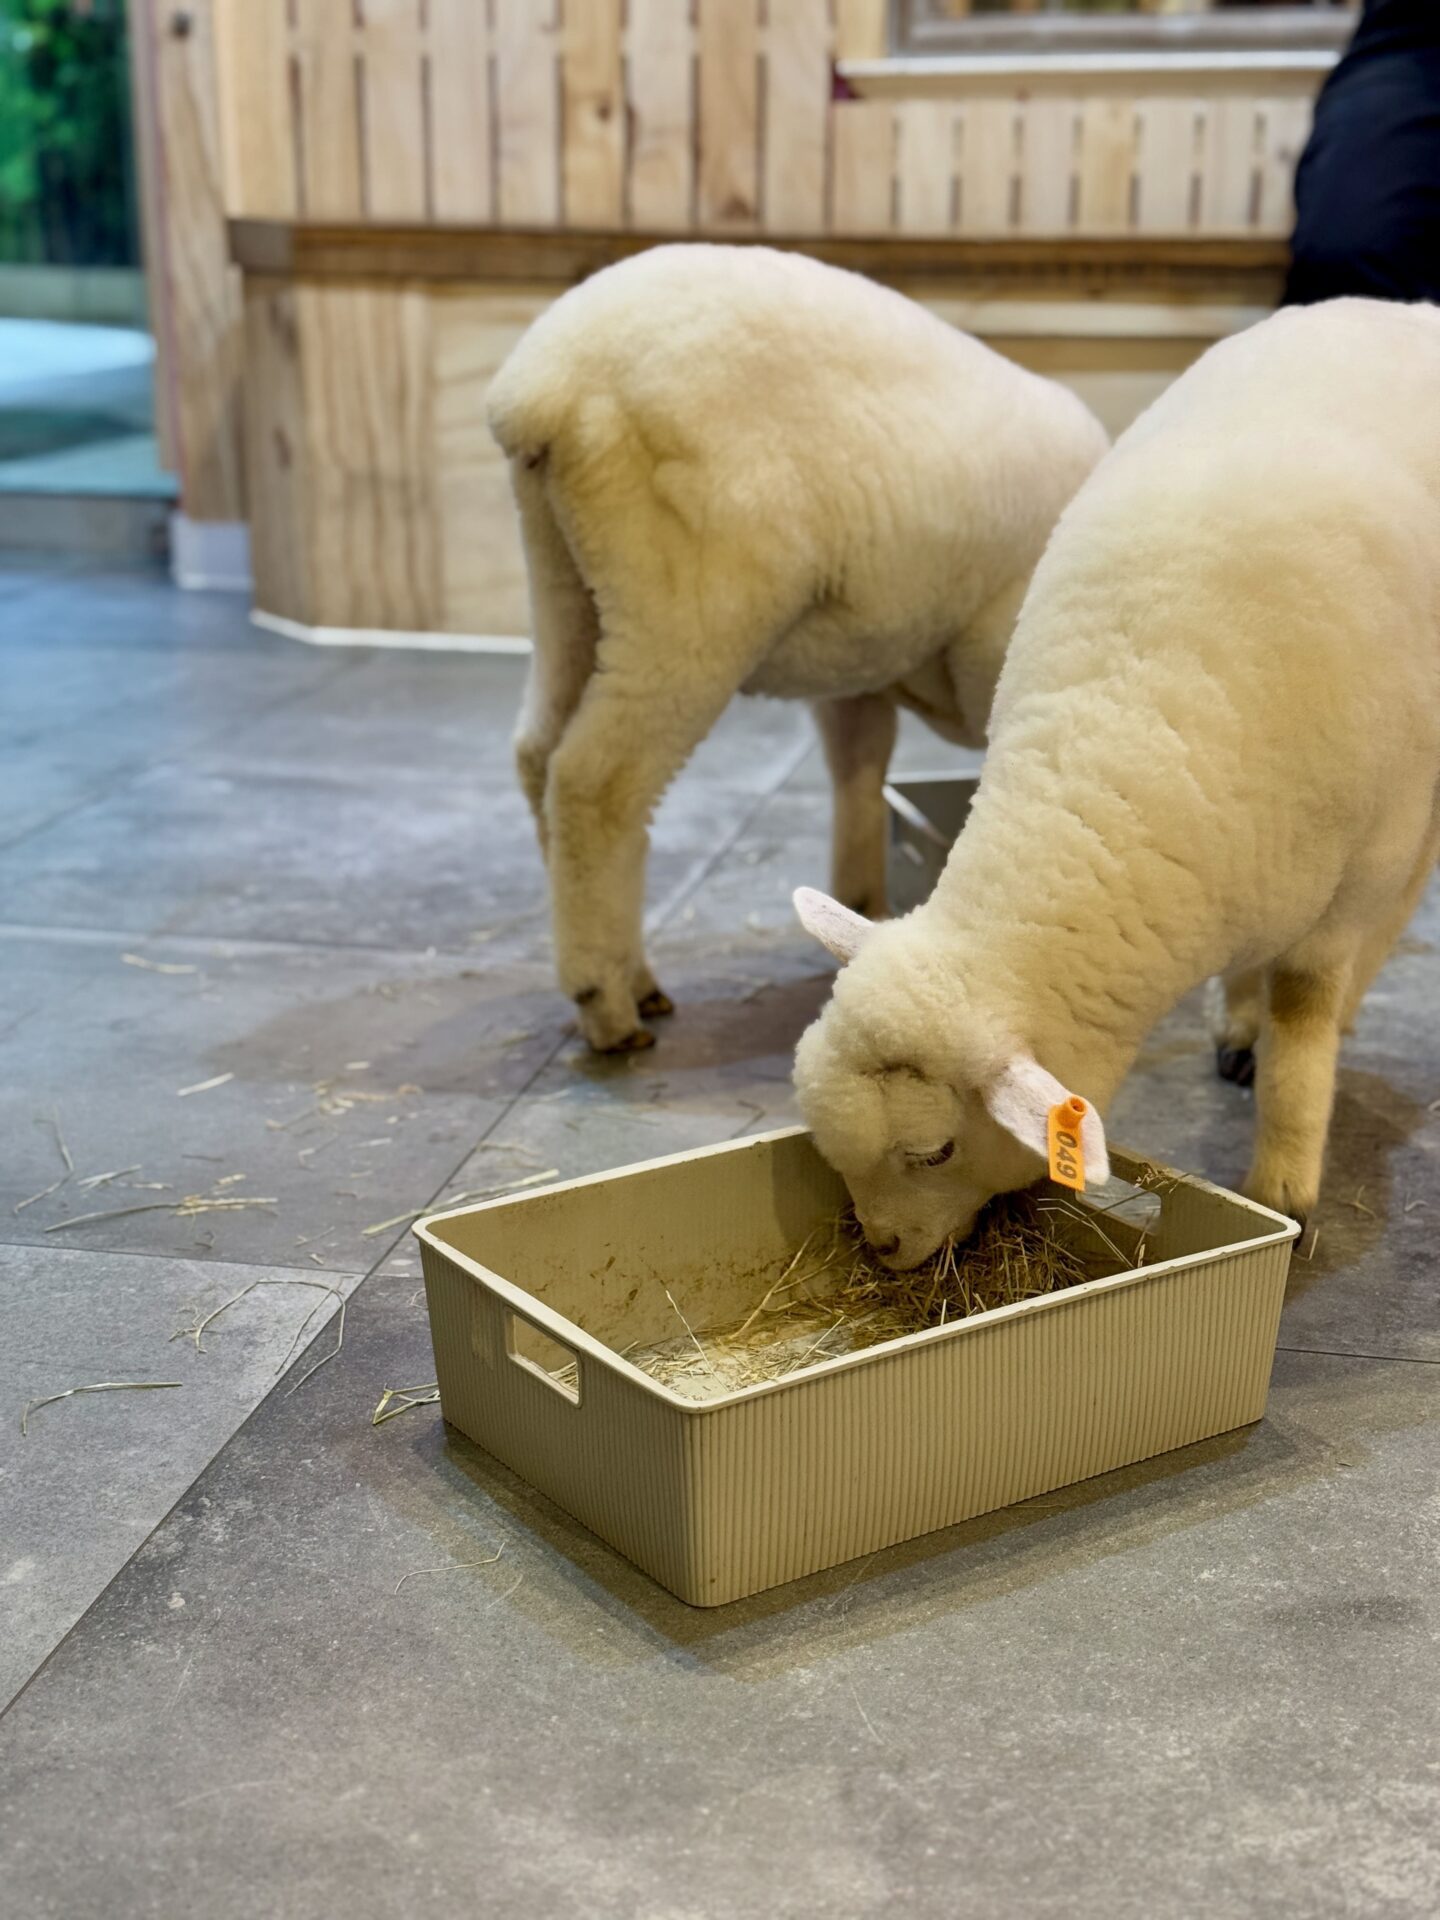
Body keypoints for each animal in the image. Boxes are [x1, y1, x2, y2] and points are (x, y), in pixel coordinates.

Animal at [487, 243, 1109, 1052]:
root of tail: (548, 384)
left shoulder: (861, 669)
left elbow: (859, 769)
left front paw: (860, 907)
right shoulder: (992, 646)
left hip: (566, 583)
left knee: (537, 754)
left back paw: (629, 970)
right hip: (688, 603)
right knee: (597, 781)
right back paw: (607, 1002)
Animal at [791, 298, 1440, 1268]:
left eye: (935, 1150)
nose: (883, 1249)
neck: (1131, 733)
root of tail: (1398, 307)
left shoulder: (1356, 875)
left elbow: (1305, 1018)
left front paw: (1285, 1182)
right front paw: (1244, 1024)